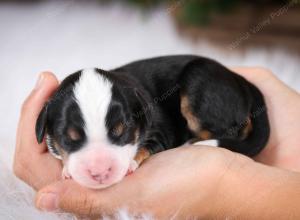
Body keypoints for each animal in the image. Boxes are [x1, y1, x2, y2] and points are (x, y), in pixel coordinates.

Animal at [34, 55, 270, 189]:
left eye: (121, 131)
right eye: (69, 138)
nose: (100, 173)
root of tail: (242, 82)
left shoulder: (160, 130)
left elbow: (146, 146)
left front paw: (131, 162)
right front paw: (66, 168)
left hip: (200, 80)